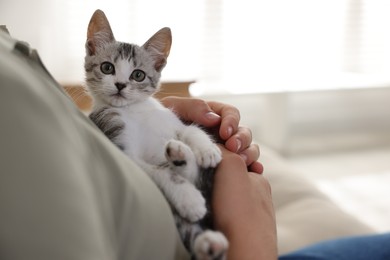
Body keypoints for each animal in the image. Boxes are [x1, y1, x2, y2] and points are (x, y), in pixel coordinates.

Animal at [84, 10, 227, 260]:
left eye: (138, 75)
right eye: (107, 68)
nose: (120, 84)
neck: (133, 111)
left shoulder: (170, 121)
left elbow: (190, 129)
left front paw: (206, 149)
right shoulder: (117, 141)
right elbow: (159, 171)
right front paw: (188, 198)